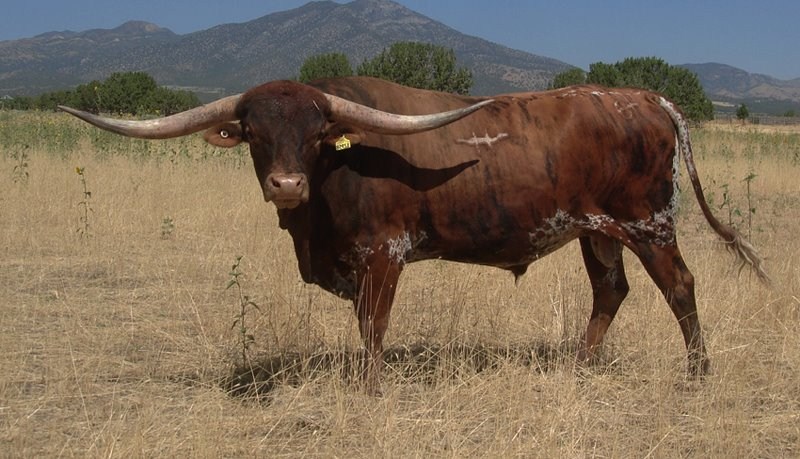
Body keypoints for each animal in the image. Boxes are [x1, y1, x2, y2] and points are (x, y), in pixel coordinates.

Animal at [59, 76, 768, 393]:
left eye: (317, 134)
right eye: (254, 134)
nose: (286, 185)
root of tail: (643, 97)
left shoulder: (384, 255)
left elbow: (374, 326)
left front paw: (371, 390)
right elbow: (364, 326)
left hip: (648, 221)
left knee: (679, 286)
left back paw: (698, 373)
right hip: (598, 229)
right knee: (610, 291)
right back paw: (579, 366)